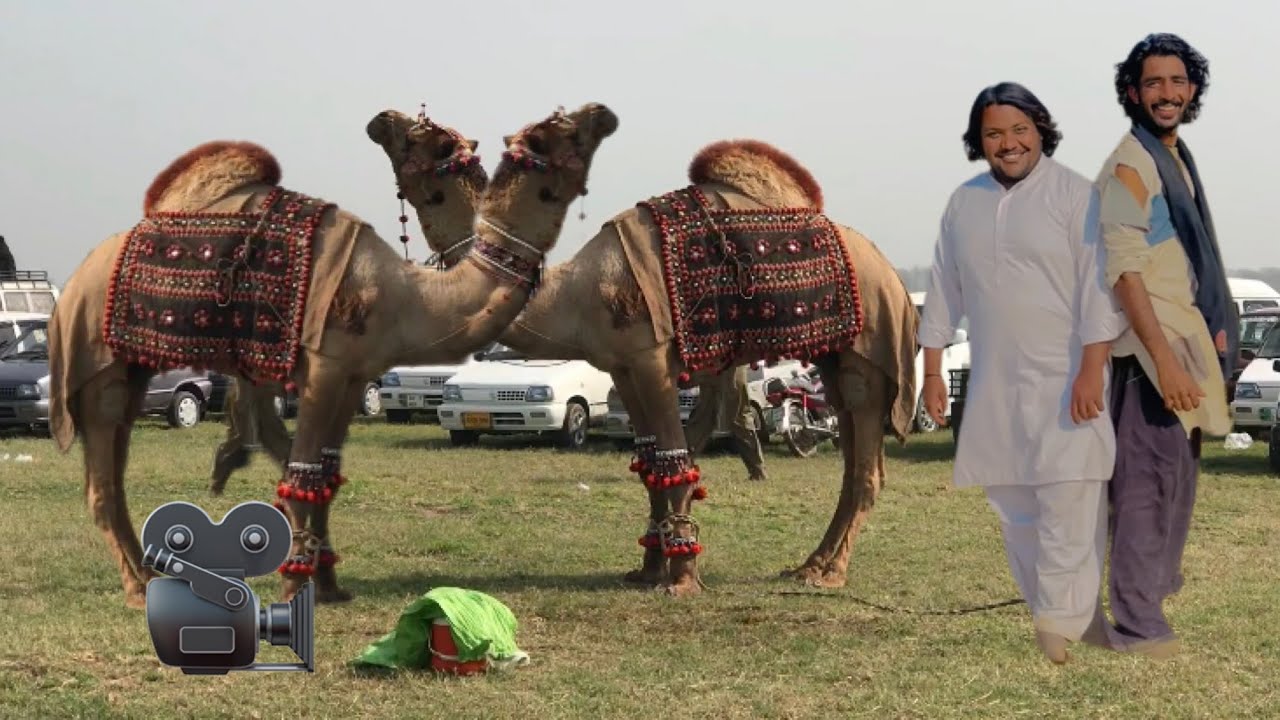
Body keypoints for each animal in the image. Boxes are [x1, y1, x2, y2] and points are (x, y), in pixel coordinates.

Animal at [388, 136, 919, 596]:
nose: (380, 123)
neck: (580, 292)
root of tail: (894, 278)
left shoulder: (651, 357)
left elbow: (673, 460)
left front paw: (680, 579)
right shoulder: (622, 367)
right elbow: (650, 467)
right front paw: (647, 569)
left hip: (867, 350)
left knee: (864, 465)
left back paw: (827, 574)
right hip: (834, 355)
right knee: (848, 454)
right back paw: (809, 564)